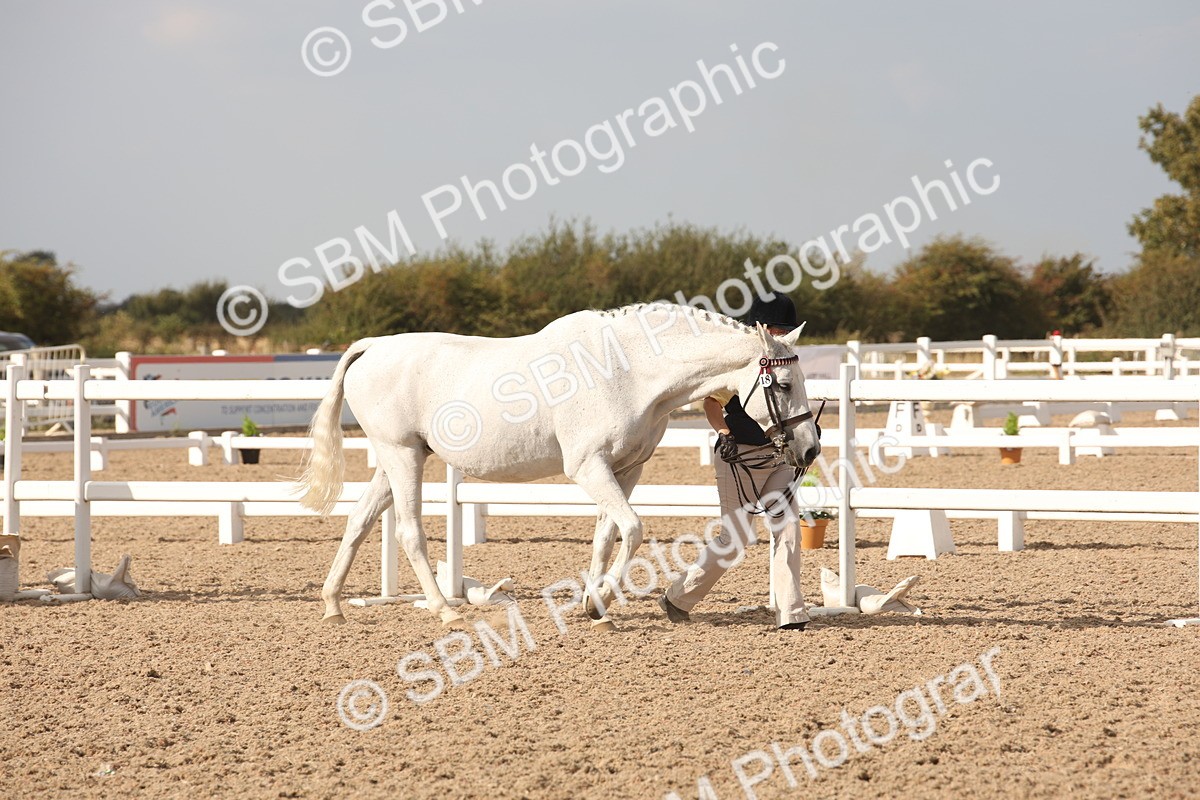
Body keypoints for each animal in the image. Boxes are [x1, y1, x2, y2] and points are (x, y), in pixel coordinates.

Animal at [297, 302, 821, 627]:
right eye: (782, 384)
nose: (810, 449)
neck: (626, 371)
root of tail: (373, 345)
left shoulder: (625, 469)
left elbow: (606, 534)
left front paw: (595, 605)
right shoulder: (588, 467)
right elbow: (633, 529)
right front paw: (601, 602)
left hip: (395, 460)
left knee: (359, 520)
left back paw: (333, 605)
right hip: (402, 455)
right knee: (408, 532)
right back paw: (445, 610)